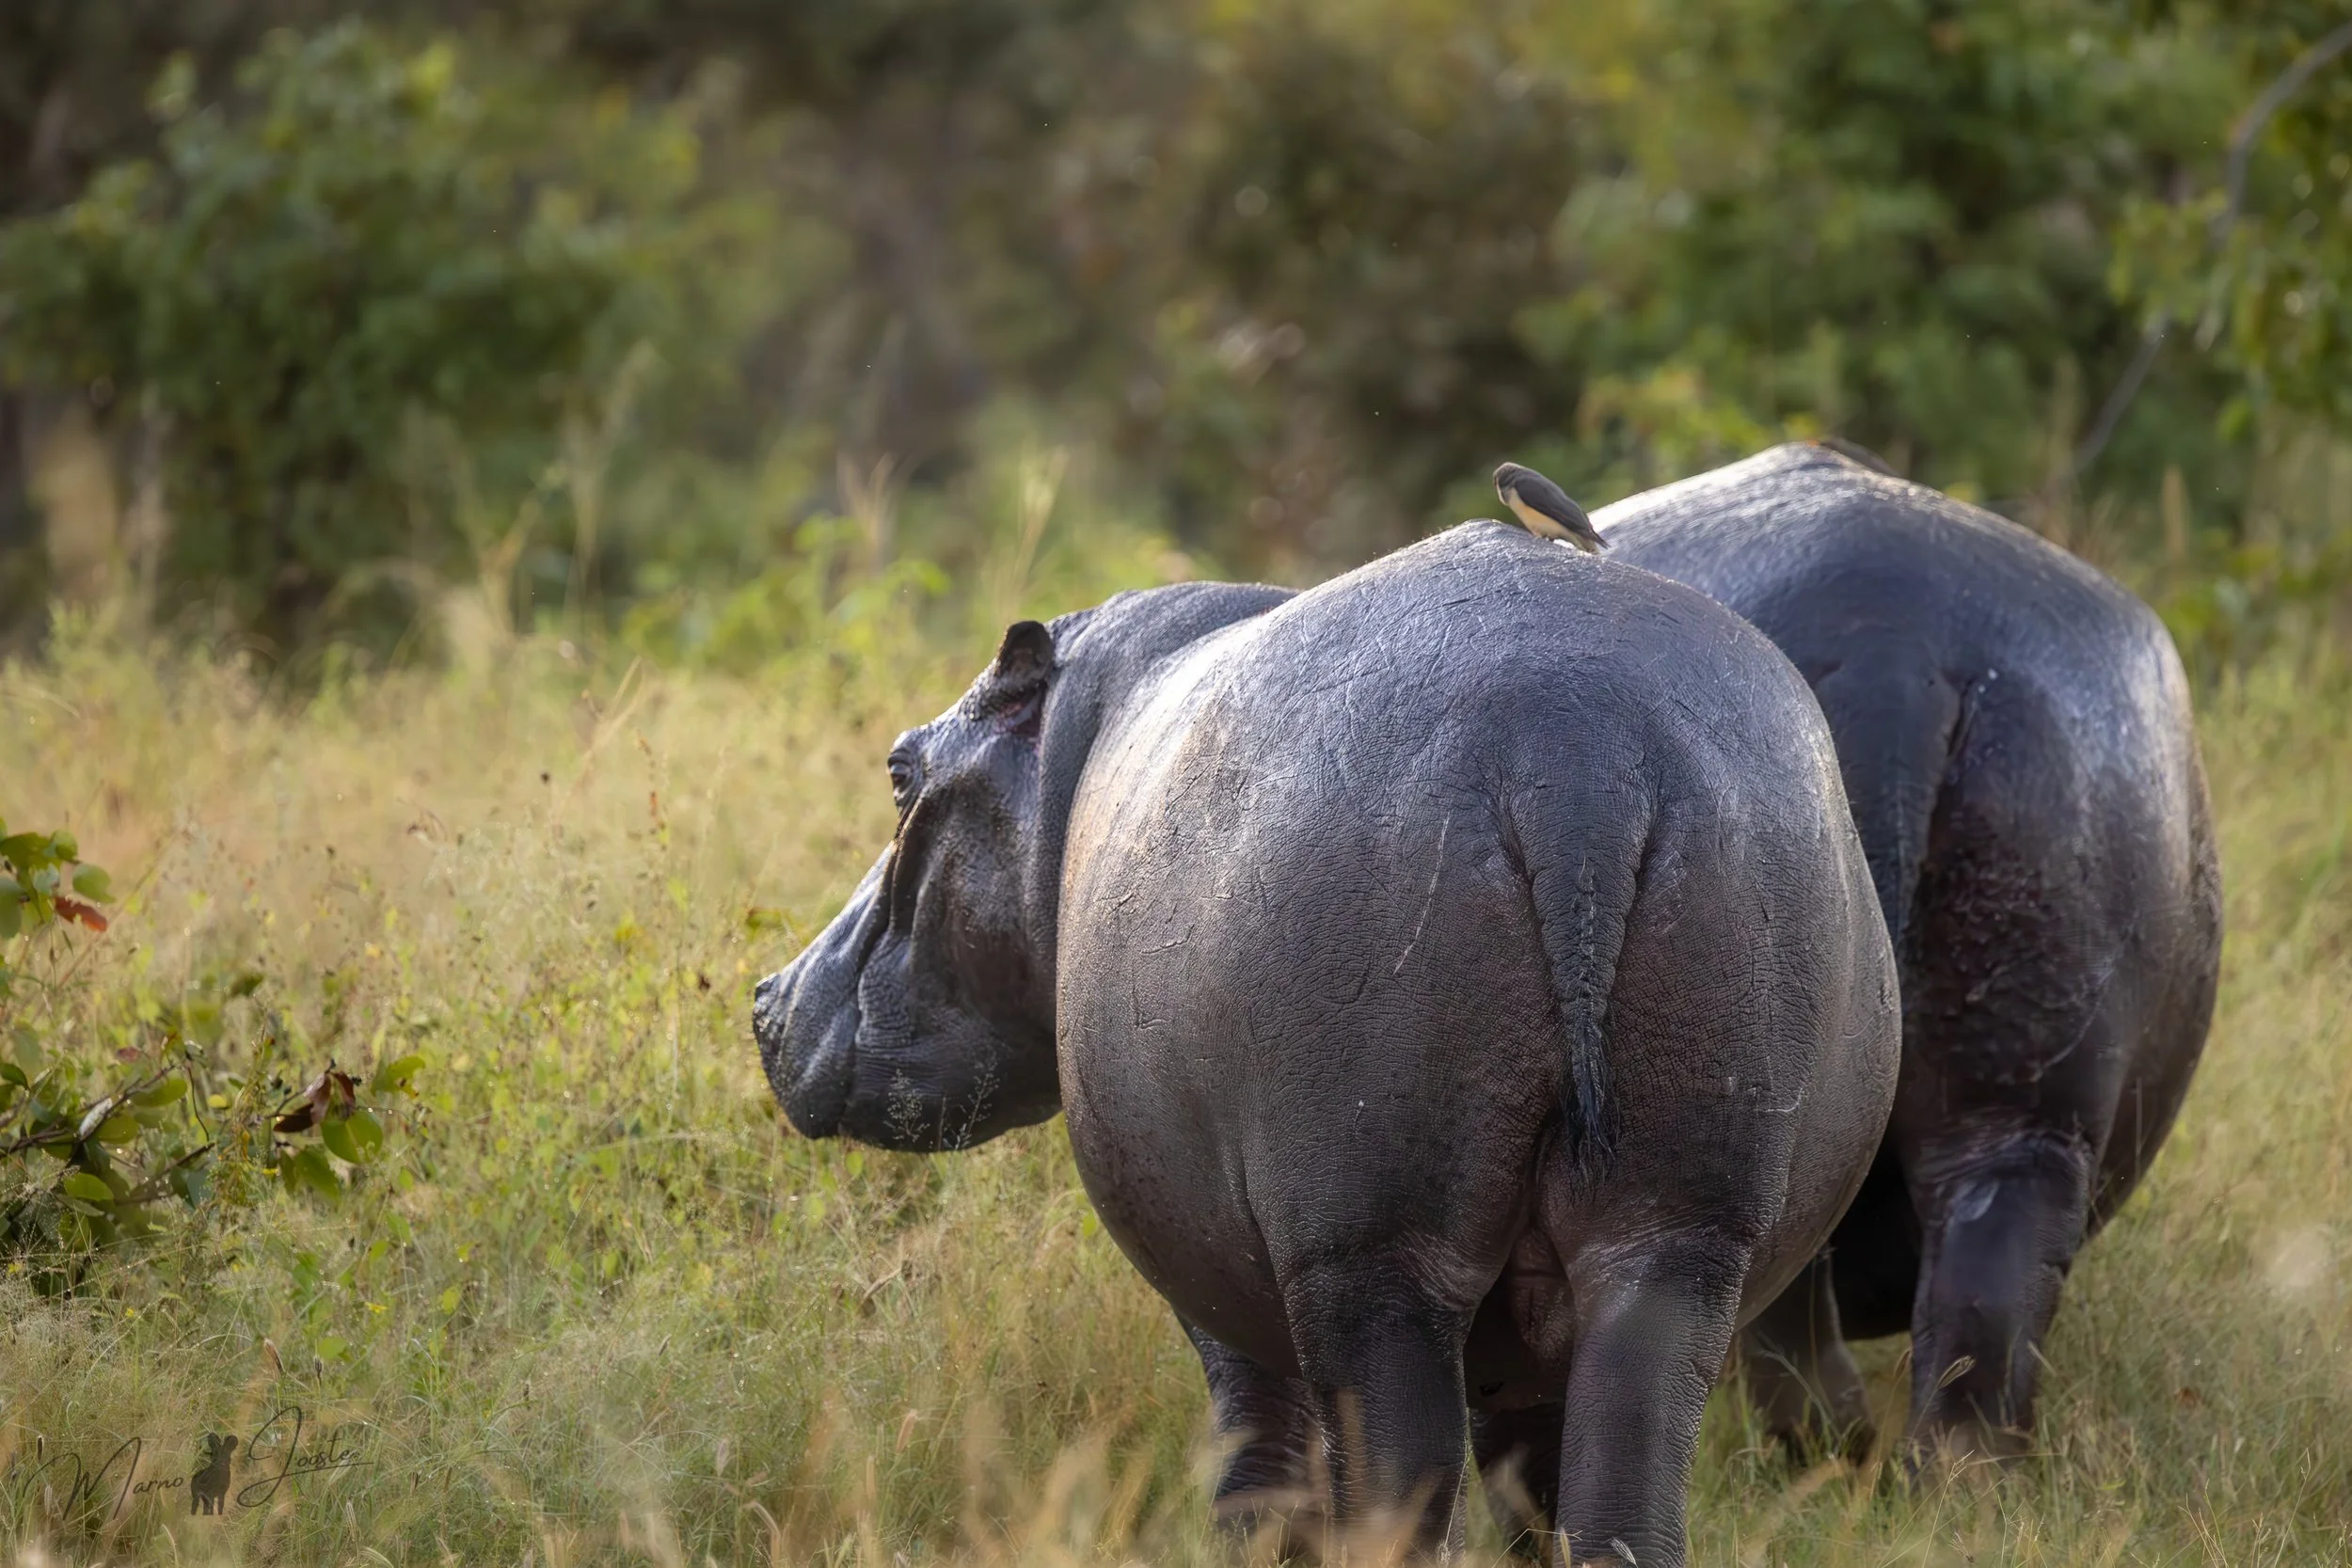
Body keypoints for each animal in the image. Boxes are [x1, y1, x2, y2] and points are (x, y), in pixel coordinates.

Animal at [758, 520, 1901, 1565]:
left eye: (899, 771)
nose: (767, 996)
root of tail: (1575, 758)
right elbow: (1525, 1470)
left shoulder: (1221, 1274)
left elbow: (1259, 1451)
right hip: (1678, 1232)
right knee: (1624, 1482)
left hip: (1370, 1251)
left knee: (1397, 1486)